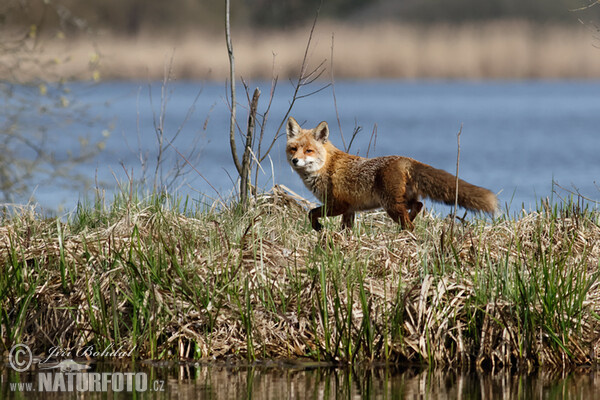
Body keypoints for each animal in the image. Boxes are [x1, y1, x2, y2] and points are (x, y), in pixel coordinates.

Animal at [286, 116, 496, 231]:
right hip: (400, 201)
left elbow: (311, 213)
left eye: (308, 151)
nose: (295, 161)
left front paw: (318, 227)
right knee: (418, 206)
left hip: (391, 205)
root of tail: (405, 159)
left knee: (410, 223)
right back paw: (407, 224)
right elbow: (345, 230)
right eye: (293, 149)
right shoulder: (350, 210)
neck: (326, 167)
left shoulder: (338, 205)